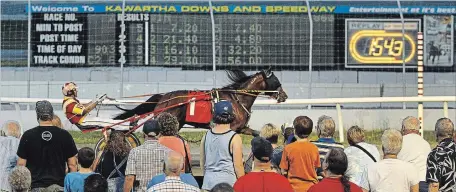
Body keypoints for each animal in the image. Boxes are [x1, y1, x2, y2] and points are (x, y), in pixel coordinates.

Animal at [112, 67, 286, 135]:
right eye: (276, 81)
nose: (284, 95)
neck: (237, 99)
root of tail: (163, 97)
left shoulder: (241, 128)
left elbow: (256, 134)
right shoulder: (232, 127)